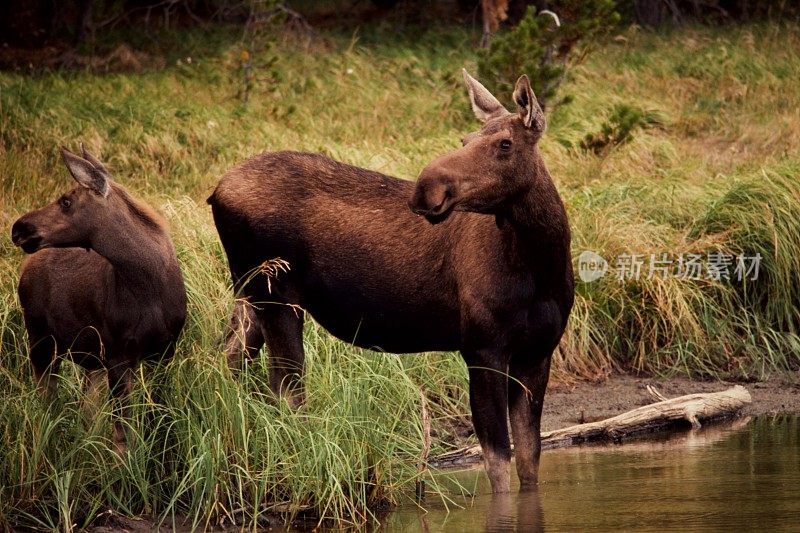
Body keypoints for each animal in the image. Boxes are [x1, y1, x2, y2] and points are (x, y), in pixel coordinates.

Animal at [11, 145, 188, 454]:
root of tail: (26, 268)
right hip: (40, 337)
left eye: (66, 200)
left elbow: (157, 420)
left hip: (87, 357)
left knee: (85, 408)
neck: (150, 288)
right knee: (46, 402)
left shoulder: (164, 351)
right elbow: (123, 435)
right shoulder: (118, 355)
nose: (19, 228)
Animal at [211, 72, 576, 492]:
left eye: (505, 144)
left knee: (228, 362)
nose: (426, 187)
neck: (540, 267)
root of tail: (216, 192)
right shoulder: (482, 348)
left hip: (250, 295)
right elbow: (498, 466)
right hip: (276, 296)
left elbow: (529, 463)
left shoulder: (538, 352)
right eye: (464, 140)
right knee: (286, 392)